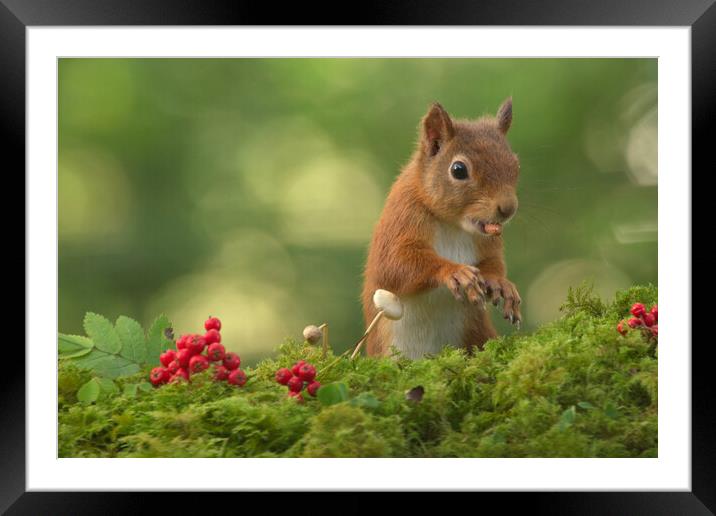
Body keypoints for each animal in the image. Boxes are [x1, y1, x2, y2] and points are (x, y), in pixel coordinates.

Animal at [364, 100, 520, 358]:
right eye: (458, 170)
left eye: (516, 164)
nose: (508, 208)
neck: (453, 225)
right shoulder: (400, 218)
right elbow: (393, 265)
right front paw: (454, 271)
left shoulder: (488, 239)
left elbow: (493, 262)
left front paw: (500, 282)